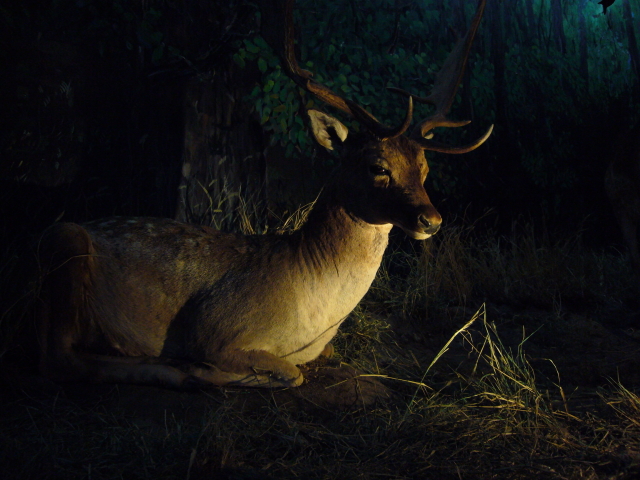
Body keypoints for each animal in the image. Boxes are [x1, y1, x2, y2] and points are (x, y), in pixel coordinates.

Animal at [36, 0, 491, 389]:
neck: (314, 311)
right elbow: (291, 373)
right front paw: (200, 368)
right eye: (378, 167)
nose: (432, 220)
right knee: (60, 355)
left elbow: (308, 363)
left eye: (424, 170)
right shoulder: (213, 327)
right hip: (64, 241)